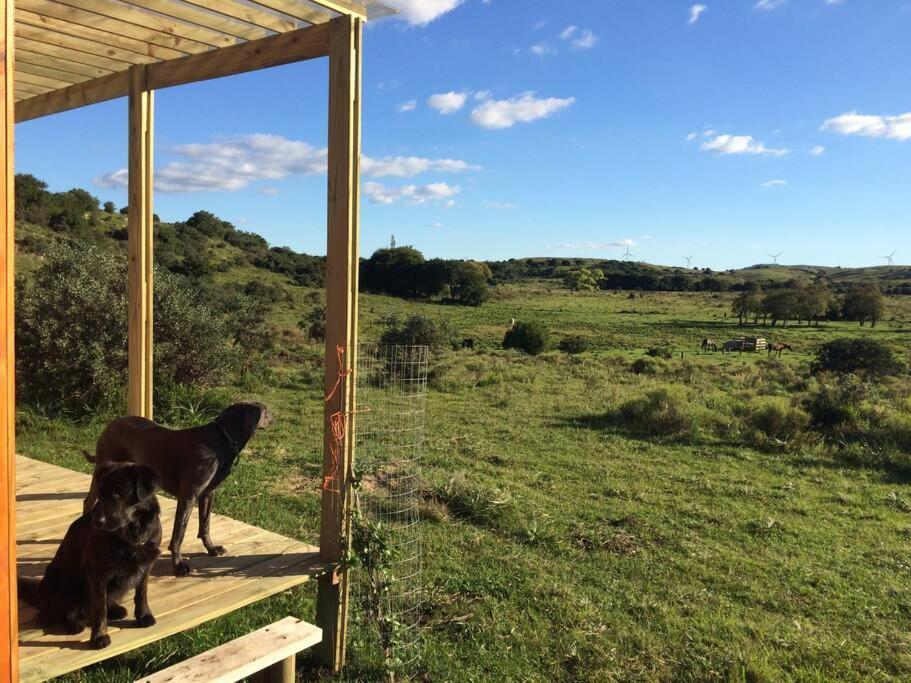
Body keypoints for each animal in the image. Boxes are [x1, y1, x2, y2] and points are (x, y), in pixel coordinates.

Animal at [17, 462, 161, 648]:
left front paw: (143, 615)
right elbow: (99, 609)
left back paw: (115, 609)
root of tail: (39, 591)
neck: (130, 535)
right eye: (100, 492)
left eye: (119, 492)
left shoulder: (146, 564)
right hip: (60, 580)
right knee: (57, 613)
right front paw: (99, 636)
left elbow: (141, 594)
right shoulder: (98, 572)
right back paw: (74, 624)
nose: (96, 522)